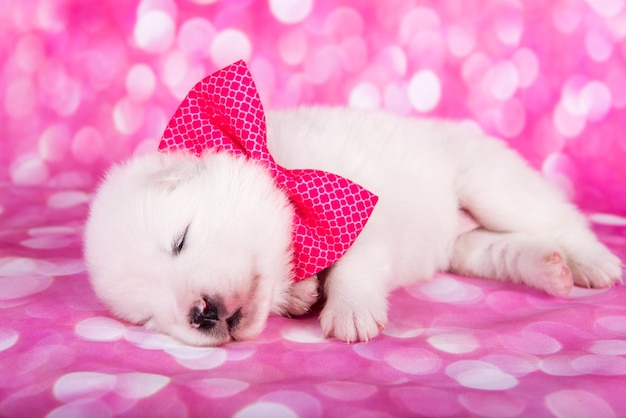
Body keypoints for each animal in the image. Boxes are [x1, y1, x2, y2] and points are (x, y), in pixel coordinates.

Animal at [83, 107, 620, 346]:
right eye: (148, 318)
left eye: (180, 240)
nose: (200, 313)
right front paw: (299, 295)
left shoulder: (361, 215)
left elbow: (351, 267)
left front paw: (349, 312)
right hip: (465, 247)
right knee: (501, 250)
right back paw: (550, 270)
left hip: (489, 183)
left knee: (559, 219)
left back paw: (593, 263)